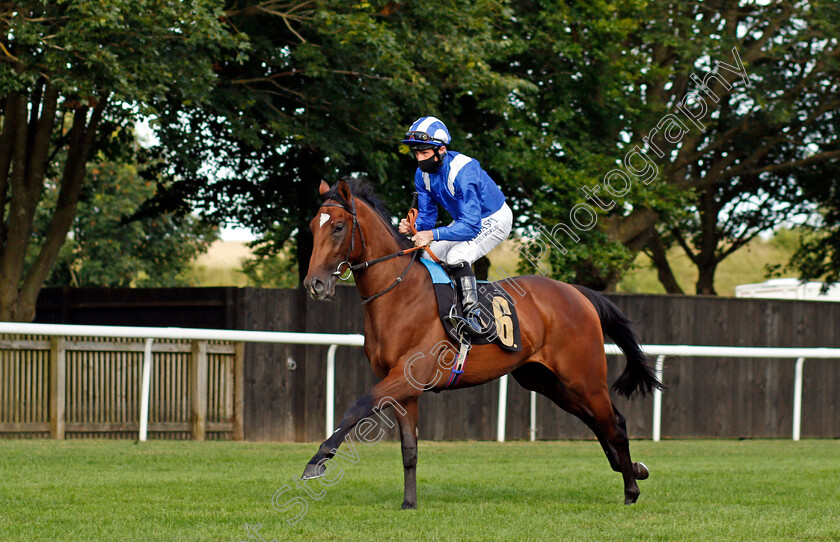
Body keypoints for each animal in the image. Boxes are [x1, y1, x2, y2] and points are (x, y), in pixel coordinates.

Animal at [302, 180, 664, 510]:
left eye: (337, 227)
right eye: (312, 227)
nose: (314, 284)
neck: (398, 294)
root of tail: (577, 293)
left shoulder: (405, 376)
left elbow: (357, 407)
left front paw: (317, 461)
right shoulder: (402, 387)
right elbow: (409, 449)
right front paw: (409, 503)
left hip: (584, 376)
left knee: (614, 423)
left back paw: (631, 490)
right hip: (546, 381)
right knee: (596, 420)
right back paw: (632, 468)